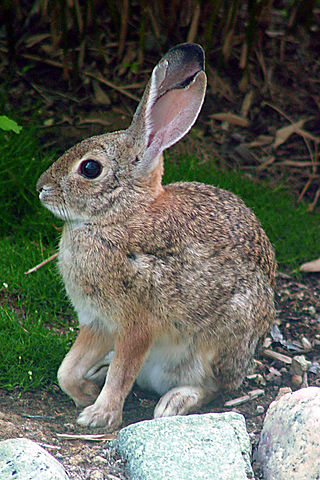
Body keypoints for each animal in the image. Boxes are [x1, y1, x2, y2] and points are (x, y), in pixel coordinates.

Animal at [35, 43, 276, 430]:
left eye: (90, 168)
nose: (41, 188)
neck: (118, 216)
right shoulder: (97, 323)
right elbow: (66, 370)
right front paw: (85, 395)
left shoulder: (137, 325)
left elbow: (123, 372)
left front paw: (100, 415)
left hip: (219, 341)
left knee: (212, 387)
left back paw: (174, 402)